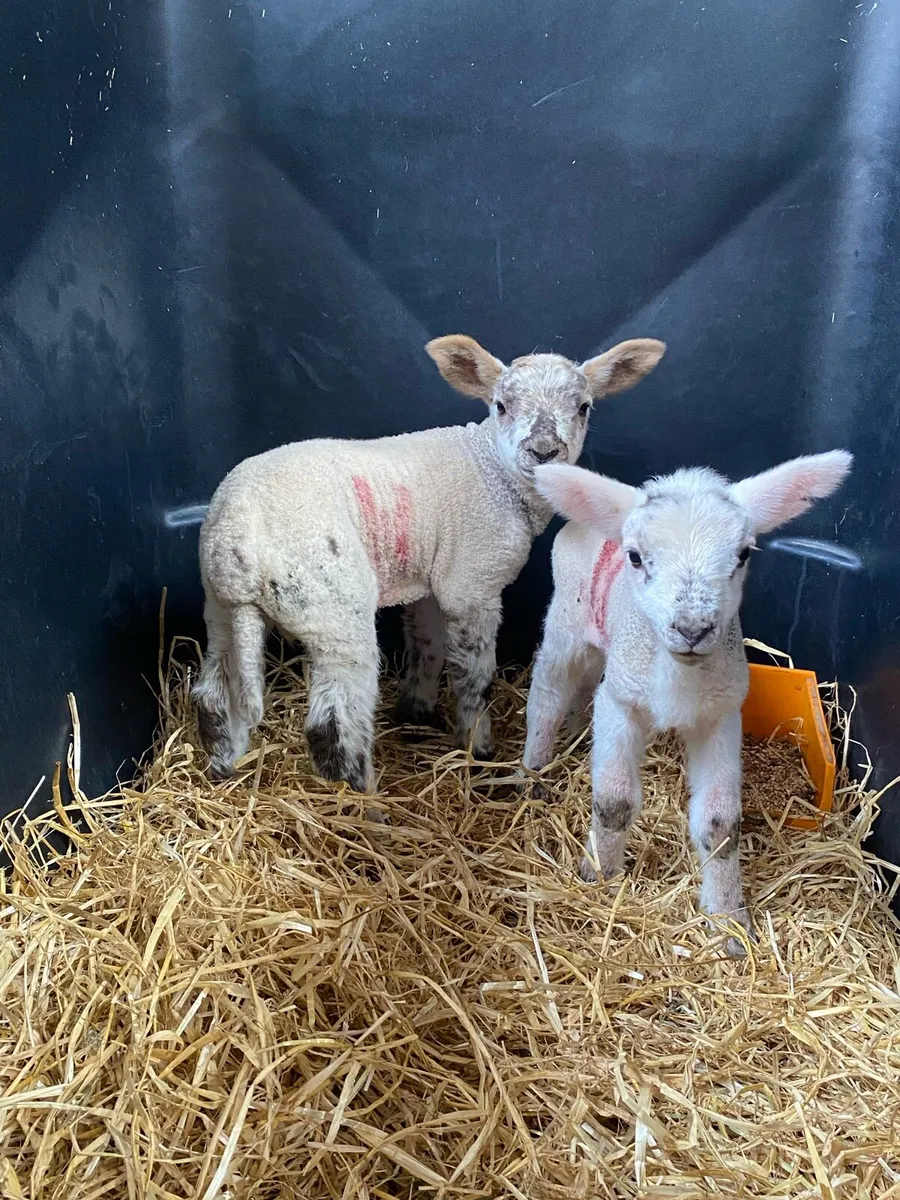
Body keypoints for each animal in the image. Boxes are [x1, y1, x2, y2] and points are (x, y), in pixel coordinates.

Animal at [191, 333, 666, 790]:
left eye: (583, 407)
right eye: (501, 406)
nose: (544, 450)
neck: (490, 468)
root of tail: (236, 545)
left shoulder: (432, 579)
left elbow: (427, 646)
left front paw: (416, 712)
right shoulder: (472, 583)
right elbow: (474, 677)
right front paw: (479, 747)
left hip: (220, 609)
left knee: (212, 697)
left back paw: (221, 771)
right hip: (331, 604)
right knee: (334, 726)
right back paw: (366, 800)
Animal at [523, 450, 853, 955]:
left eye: (743, 554)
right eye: (635, 556)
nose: (692, 629)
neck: (678, 679)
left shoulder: (720, 715)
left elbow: (719, 826)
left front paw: (730, 923)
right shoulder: (622, 700)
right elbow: (614, 801)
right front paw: (599, 876)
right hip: (566, 620)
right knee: (549, 692)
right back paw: (534, 768)